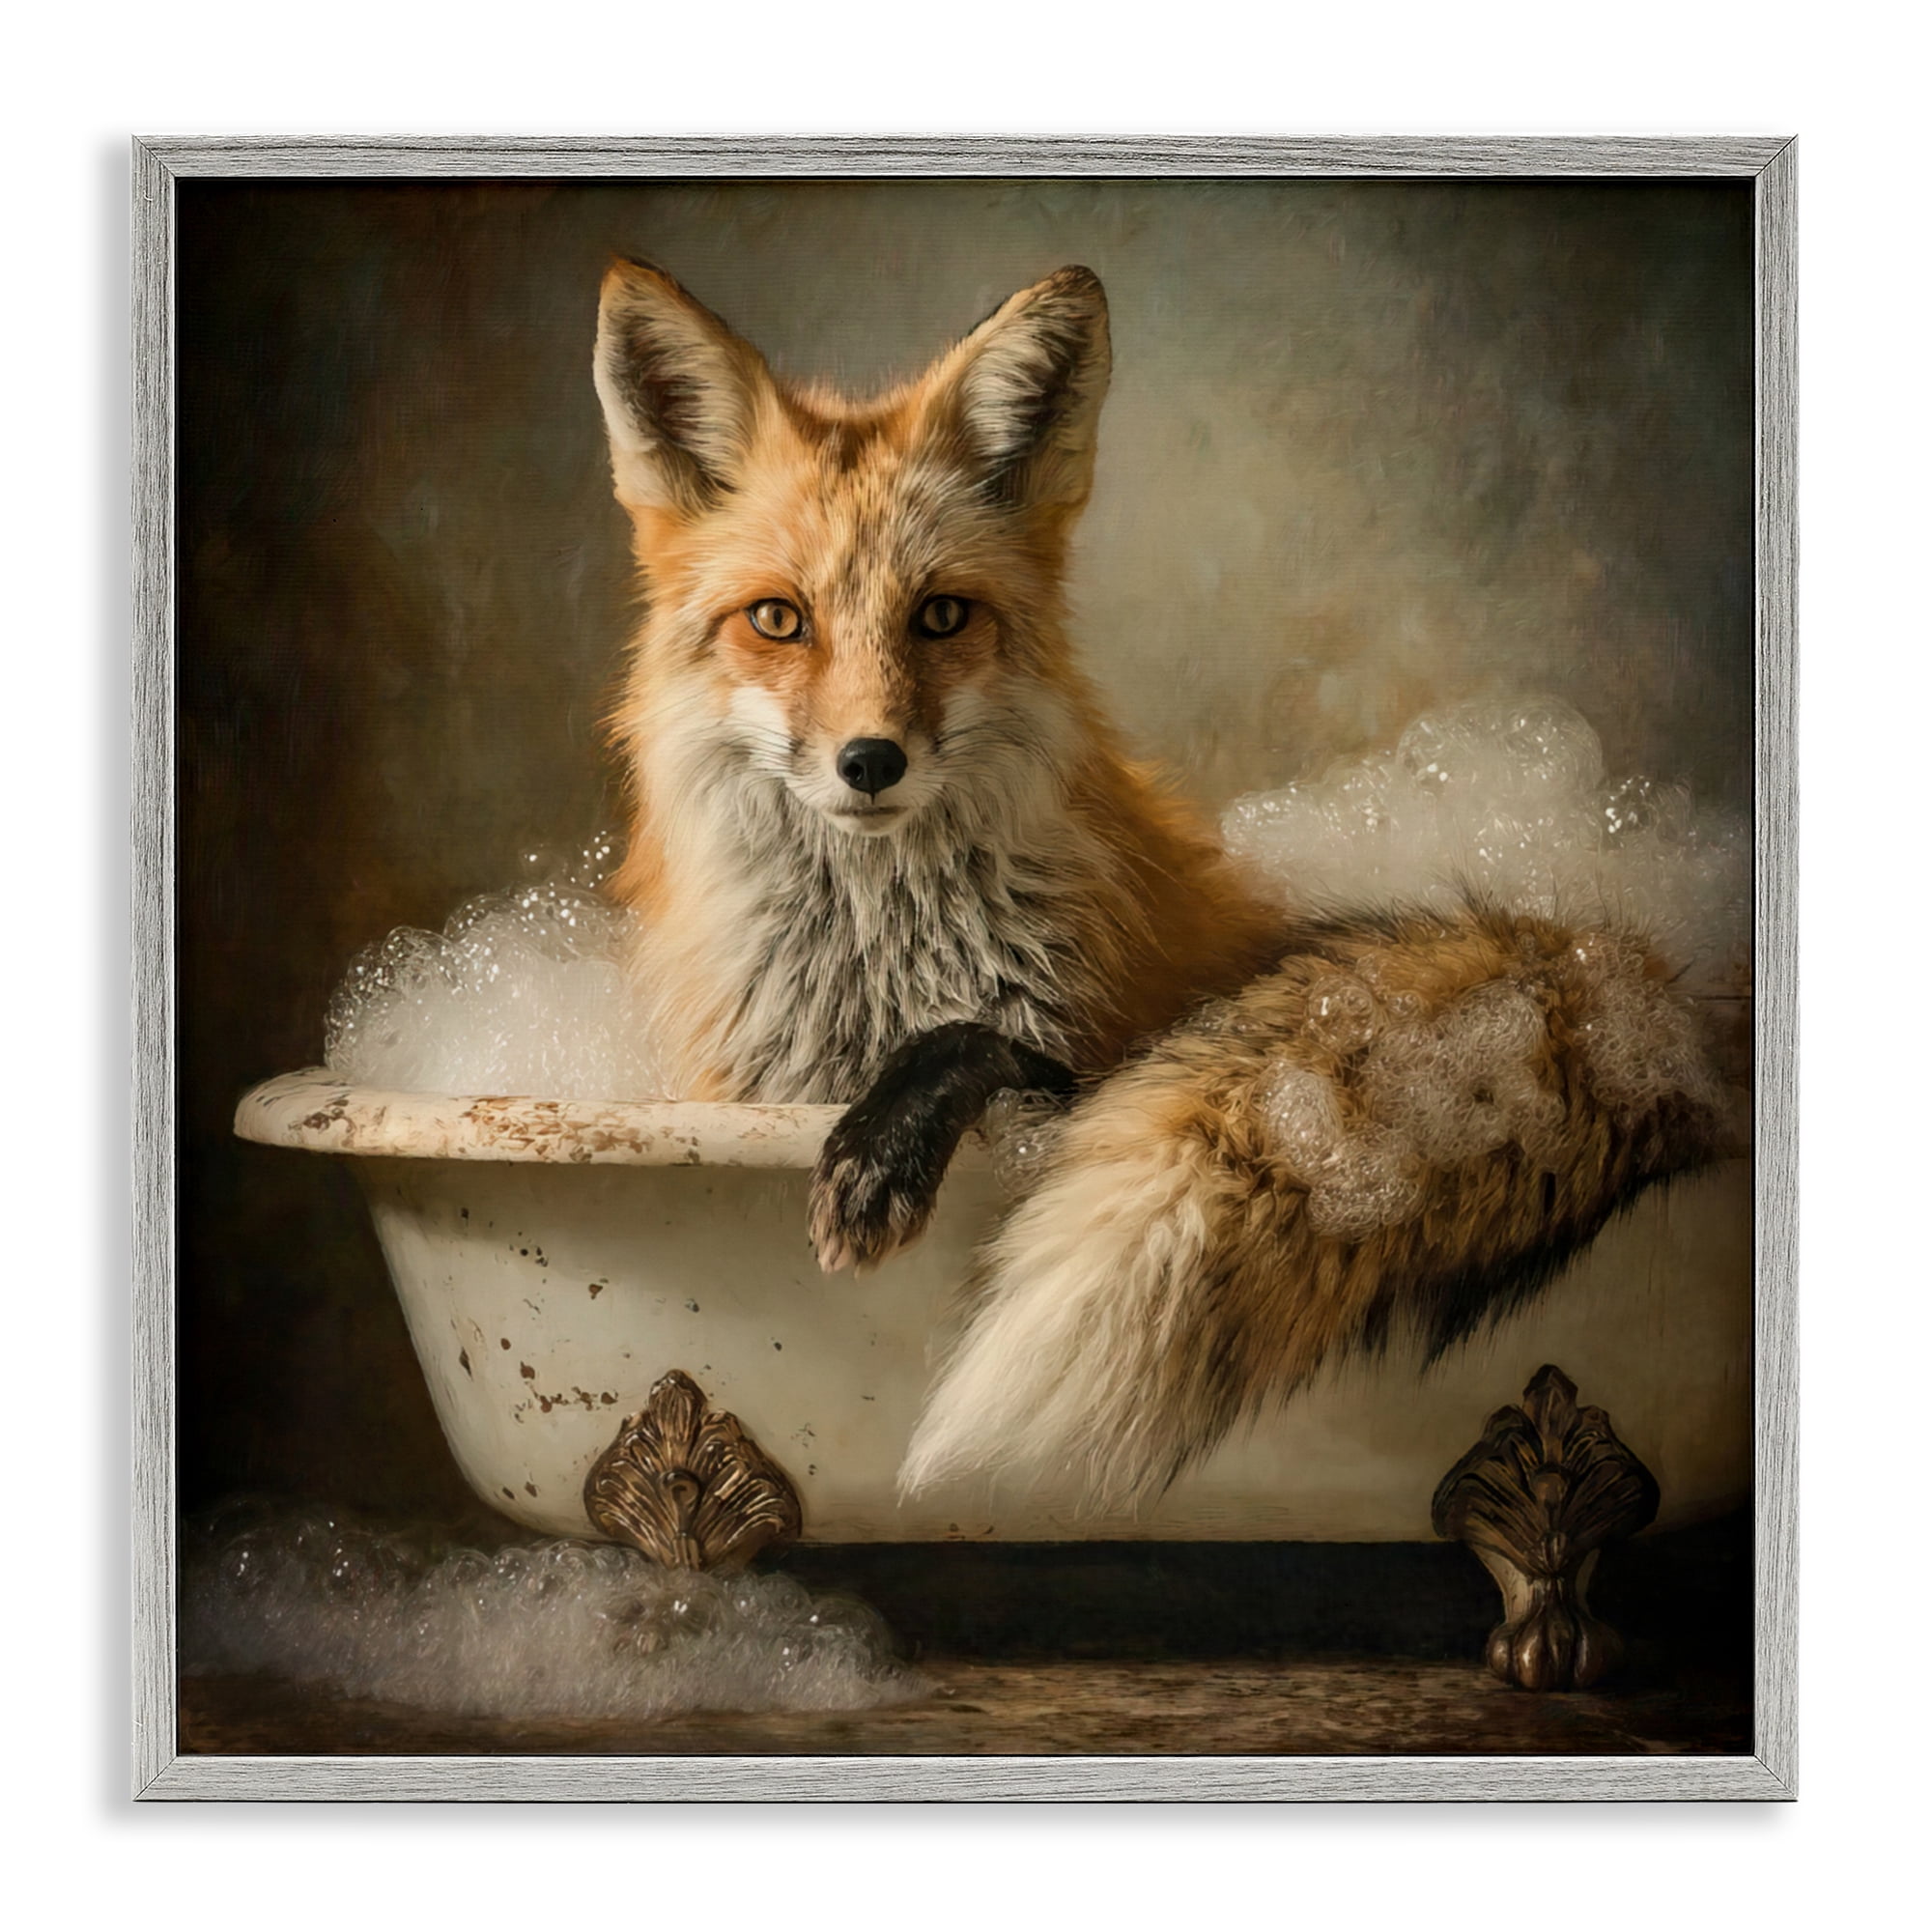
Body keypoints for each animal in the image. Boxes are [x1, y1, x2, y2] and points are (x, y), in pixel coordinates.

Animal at [592, 257, 1728, 1508]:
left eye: (939, 615)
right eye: (777, 620)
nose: (870, 760)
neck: (880, 969)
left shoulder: (1091, 1046)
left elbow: (972, 1038)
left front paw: (878, 1150)